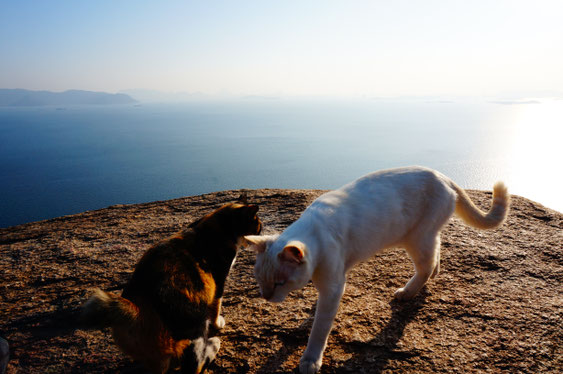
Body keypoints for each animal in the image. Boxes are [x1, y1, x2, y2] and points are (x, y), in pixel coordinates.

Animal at [80, 197, 264, 372]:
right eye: (258, 227)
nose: (260, 238)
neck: (216, 226)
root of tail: (136, 308)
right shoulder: (219, 279)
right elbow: (217, 304)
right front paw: (218, 323)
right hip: (194, 324)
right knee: (193, 364)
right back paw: (213, 346)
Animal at [247, 167, 512, 374]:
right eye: (260, 280)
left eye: (280, 283)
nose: (266, 297)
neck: (315, 229)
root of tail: (443, 176)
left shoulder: (333, 287)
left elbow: (319, 329)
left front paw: (310, 360)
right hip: (425, 237)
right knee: (437, 250)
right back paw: (435, 272)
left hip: (416, 239)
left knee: (425, 266)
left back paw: (408, 291)